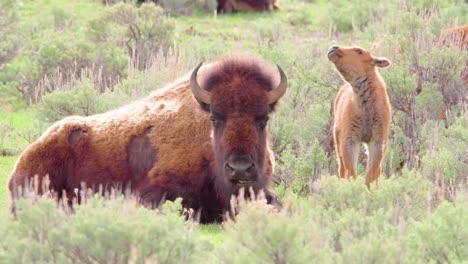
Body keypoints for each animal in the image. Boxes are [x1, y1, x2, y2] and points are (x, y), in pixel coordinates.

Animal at [328, 45, 394, 187]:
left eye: (359, 51)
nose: (333, 48)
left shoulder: (378, 140)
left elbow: (371, 174)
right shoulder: (350, 140)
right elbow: (352, 173)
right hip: (337, 138)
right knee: (341, 169)